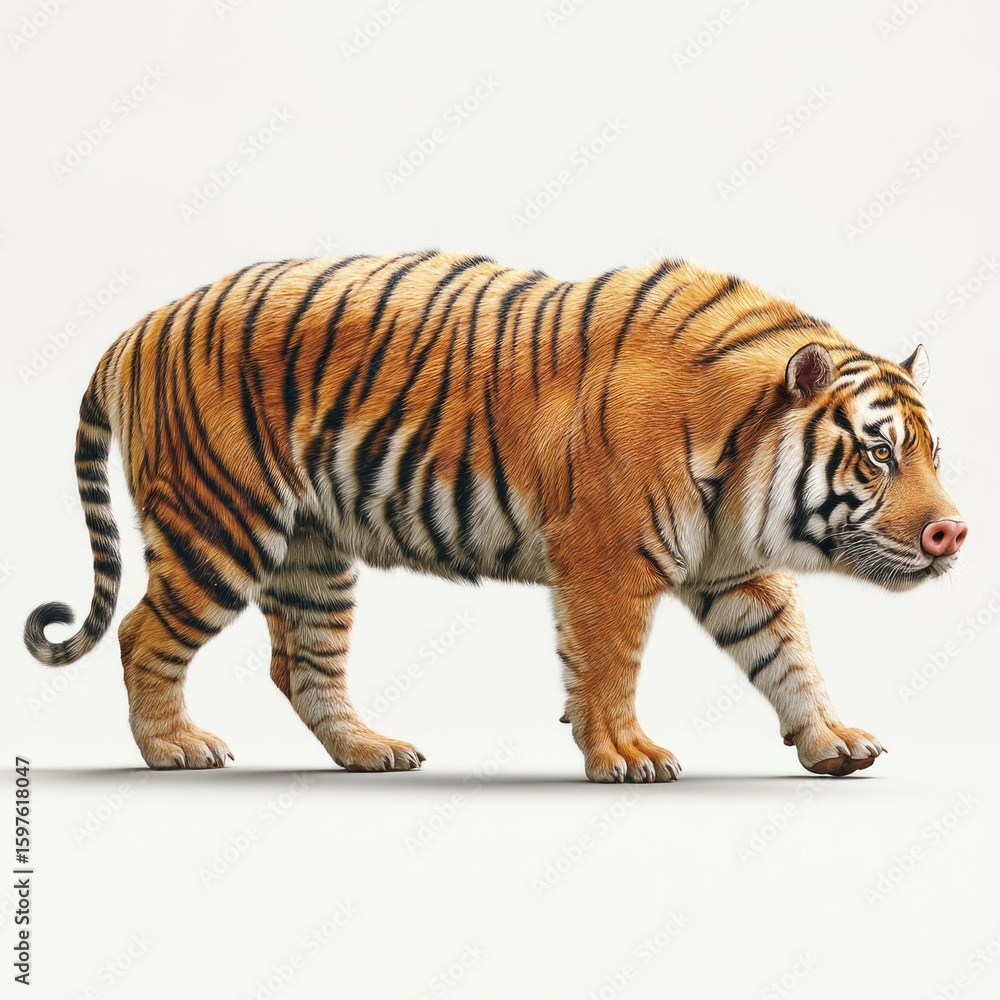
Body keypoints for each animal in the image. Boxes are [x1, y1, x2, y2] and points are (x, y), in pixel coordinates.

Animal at [23, 250, 967, 781]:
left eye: (931, 452)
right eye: (878, 454)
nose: (952, 531)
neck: (741, 460)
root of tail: (141, 326)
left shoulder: (734, 566)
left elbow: (789, 654)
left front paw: (833, 743)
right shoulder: (607, 559)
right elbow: (611, 665)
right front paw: (625, 756)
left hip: (313, 554)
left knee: (302, 666)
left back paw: (371, 752)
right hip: (221, 527)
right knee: (142, 633)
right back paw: (174, 749)